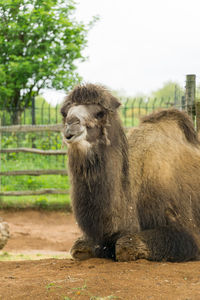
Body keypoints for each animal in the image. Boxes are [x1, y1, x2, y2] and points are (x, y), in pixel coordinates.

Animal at [60, 83, 200, 262]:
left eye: (100, 113)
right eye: (65, 113)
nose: (71, 124)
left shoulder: (189, 232)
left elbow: (125, 245)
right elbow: (79, 248)